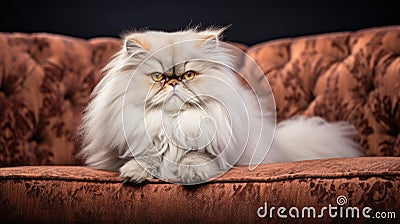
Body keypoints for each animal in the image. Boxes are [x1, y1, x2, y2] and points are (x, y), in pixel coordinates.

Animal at [79, 28, 362, 185]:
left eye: (189, 75)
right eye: (158, 77)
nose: (173, 82)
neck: (174, 121)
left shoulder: (211, 148)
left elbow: (195, 157)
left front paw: (192, 174)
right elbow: (145, 157)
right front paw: (134, 174)